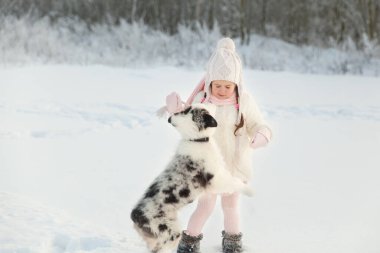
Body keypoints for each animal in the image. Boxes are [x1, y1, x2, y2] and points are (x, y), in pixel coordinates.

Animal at [131, 103, 252, 253]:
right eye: (204, 110)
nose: (212, 102)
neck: (197, 141)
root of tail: (135, 214)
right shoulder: (215, 179)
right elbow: (234, 183)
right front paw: (250, 191)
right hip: (169, 232)